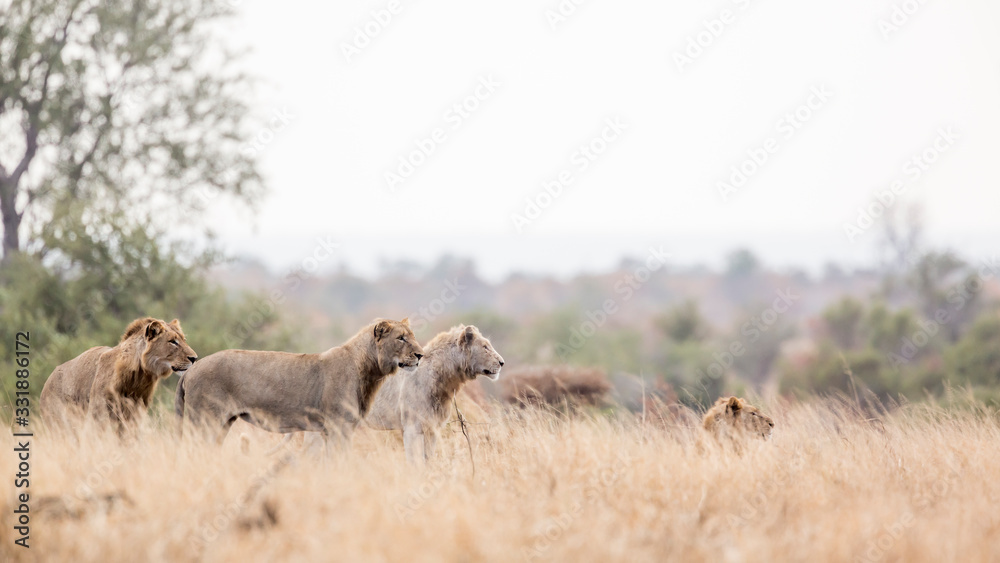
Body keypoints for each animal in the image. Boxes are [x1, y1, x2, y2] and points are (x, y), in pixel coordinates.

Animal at [40, 317, 198, 432]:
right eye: (172, 342)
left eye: (183, 340)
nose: (194, 358)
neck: (139, 378)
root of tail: (47, 381)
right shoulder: (99, 413)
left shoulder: (135, 413)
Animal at [175, 318, 423, 447]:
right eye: (401, 338)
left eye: (412, 336)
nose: (420, 354)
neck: (370, 373)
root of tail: (191, 369)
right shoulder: (339, 426)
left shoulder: (332, 430)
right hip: (205, 421)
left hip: (222, 423)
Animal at [367, 324, 504, 464]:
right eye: (485, 346)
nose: (502, 363)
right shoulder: (412, 428)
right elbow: (415, 461)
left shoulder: (432, 428)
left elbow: (428, 458)